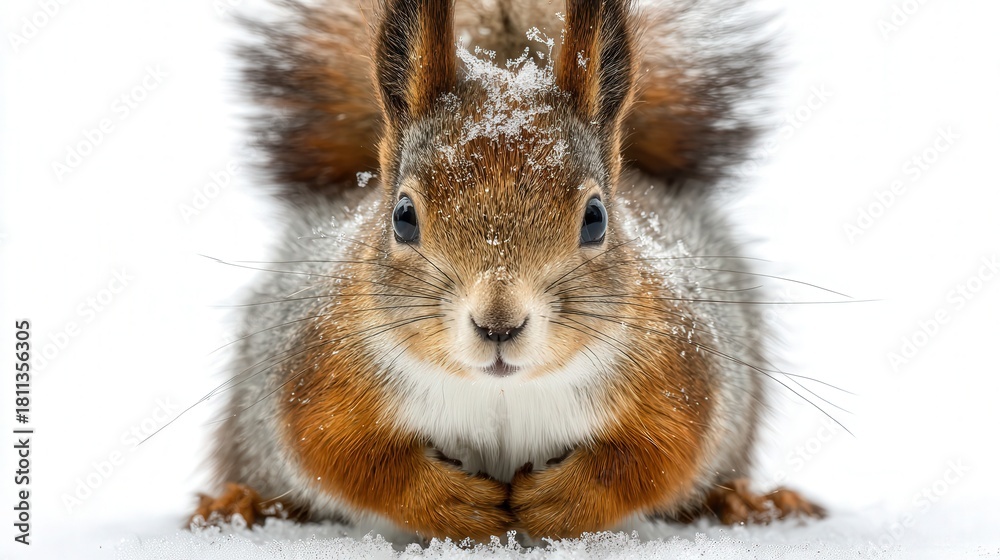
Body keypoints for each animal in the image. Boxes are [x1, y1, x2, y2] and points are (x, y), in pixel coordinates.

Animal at [192, 0, 826, 543]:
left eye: (596, 218)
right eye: (402, 216)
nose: (499, 325)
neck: (500, 391)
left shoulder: (678, 369)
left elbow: (656, 457)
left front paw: (559, 501)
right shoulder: (321, 370)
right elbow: (345, 457)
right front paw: (452, 504)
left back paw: (749, 502)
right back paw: (239, 505)